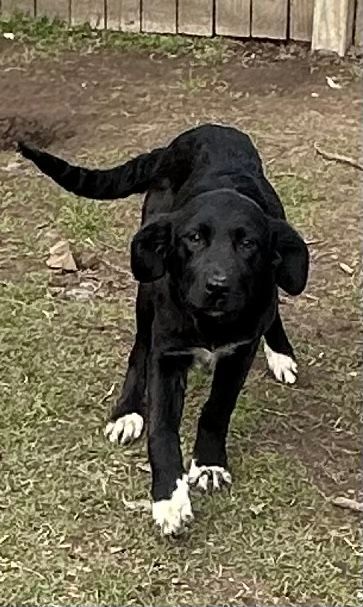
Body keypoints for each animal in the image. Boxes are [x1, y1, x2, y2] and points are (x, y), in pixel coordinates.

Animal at [18, 124, 308, 536]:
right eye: (194, 238)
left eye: (248, 243)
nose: (217, 286)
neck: (208, 321)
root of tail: (204, 130)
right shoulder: (167, 354)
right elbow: (162, 430)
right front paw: (169, 500)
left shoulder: (239, 351)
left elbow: (217, 409)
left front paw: (209, 464)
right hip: (147, 283)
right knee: (138, 350)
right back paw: (126, 412)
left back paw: (280, 351)